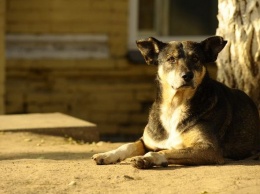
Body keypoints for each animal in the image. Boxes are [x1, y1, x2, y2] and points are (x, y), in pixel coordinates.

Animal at [91, 36, 260, 168]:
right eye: (171, 59)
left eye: (195, 59)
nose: (187, 76)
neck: (175, 105)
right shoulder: (147, 141)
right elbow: (127, 145)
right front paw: (107, 155)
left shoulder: (209, 149)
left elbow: (167, 151)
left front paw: (147, 158)